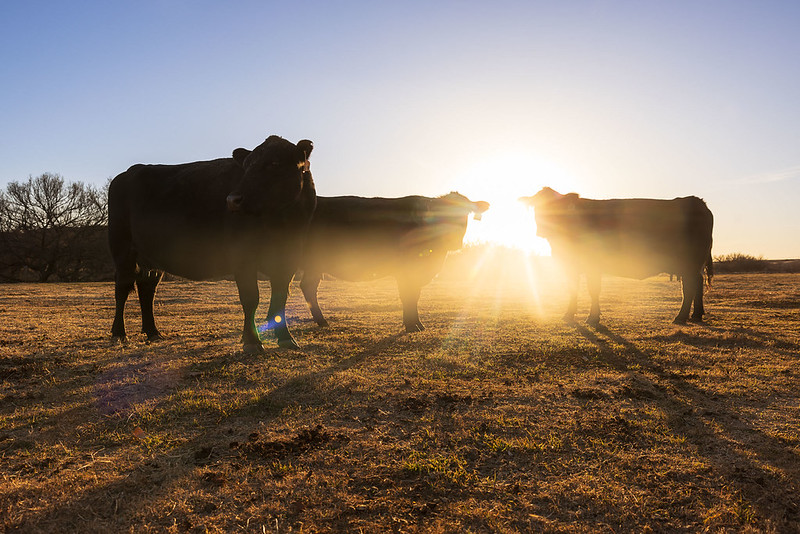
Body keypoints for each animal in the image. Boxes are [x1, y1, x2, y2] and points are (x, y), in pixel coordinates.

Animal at [108, 135, 315, 352]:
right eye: (246, 165)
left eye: (275, 163)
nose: (232, 199)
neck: (280, 226)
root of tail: (128, 172)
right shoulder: (242, 256)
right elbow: (251, 298)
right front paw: (252, 341)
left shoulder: (290, 257)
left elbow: (280, 298)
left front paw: (285, 337)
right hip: (122, 249)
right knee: (122, 288)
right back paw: (119, 334)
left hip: (151, 259)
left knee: (147, 289)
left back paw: (153, 332)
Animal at [299, 192, 489, 332]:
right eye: (441, 213)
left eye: (466, 213)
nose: (454, 241)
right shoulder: (406, 271)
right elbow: (408, 295)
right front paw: (411, 325)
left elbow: (414, 296)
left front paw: (415, 323)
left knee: (308, 286)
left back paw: (321, 321)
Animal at [519, 187, 713, 325]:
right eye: (537, 206)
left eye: (556, 206)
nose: (542, 230)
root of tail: (696, 201)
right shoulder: (570, 265)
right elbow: (572, 289)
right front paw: (569, 314)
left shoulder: (592, 265)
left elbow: (593, 290)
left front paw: (592, 317)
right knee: (697, 283)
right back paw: (696, 315)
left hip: (688, 262)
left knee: (689, 287)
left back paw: (681, 317)